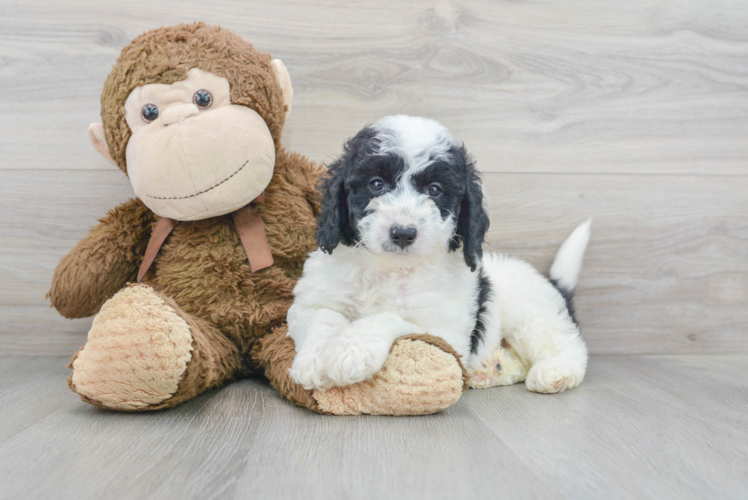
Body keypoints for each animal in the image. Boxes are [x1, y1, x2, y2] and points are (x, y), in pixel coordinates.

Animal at [288, 115, 592, 392]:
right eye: (376, 184)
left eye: (434, 190)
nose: (403, 233)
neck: (390, 268)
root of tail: (551, 284)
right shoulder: (312, 301)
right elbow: (322, 319)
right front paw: (313, 361)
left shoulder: (444, 331)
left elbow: (391, 319)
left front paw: (351, 351)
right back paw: (492, 370)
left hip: (529, 311)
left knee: (564, 343)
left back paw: (556, 372)